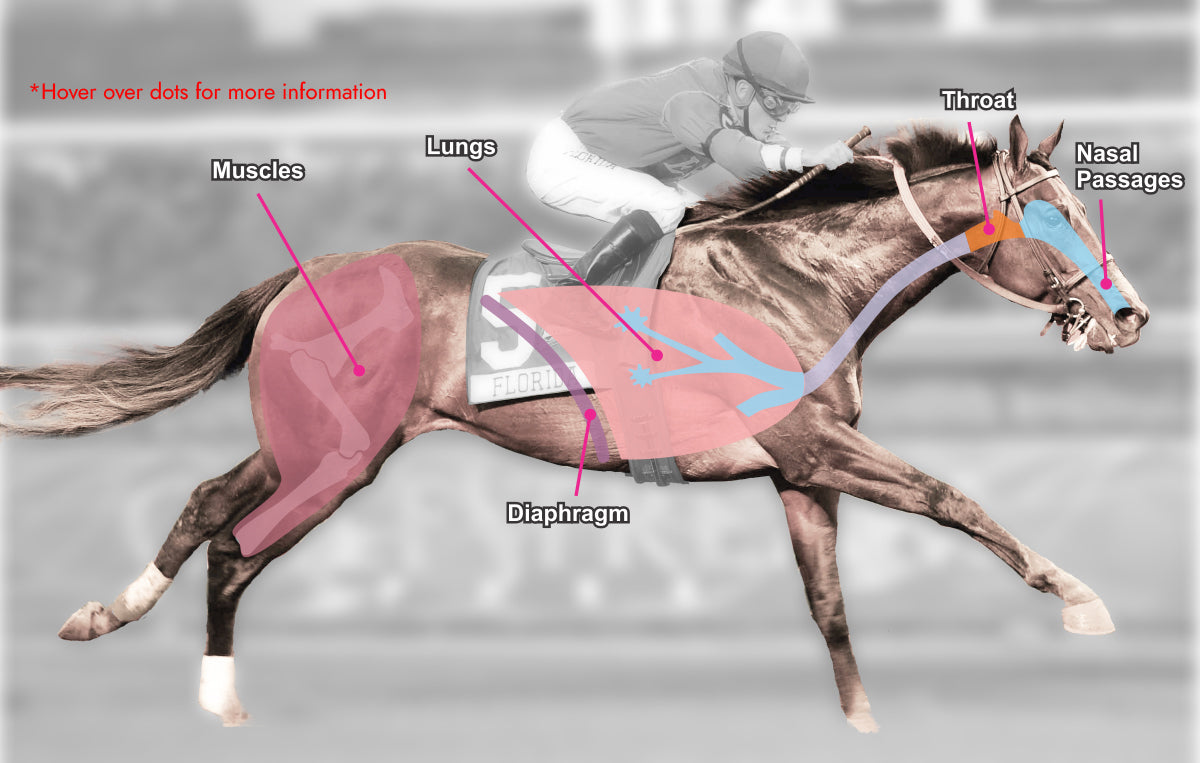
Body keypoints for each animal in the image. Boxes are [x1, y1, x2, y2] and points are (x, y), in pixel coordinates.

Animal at [0, 117, 1149, 732]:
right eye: (1051, 217)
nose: (1132, 313)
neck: (798, 278)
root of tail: (301, 271)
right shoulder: (815, 446)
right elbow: (956, 496)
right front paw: (1080, 596)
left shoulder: (800, 472)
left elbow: (829, 607)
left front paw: (864, 724)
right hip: (341, 456)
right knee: (238, 546)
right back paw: (220, 699)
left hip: (307, 442)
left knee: (206, 501)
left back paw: (108, 616)